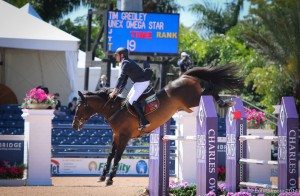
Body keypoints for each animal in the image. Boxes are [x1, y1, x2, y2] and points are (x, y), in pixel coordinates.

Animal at [72, 64, 244, 185]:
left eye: (80, 107)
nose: (74, 125)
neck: (115, 109)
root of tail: (184, 75)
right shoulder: (116, 135)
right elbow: (110, 155)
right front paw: (102, 176)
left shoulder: (125, 136)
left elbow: (118, 156)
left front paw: (110, 179)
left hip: (194, 99)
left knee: (209, 88)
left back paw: (224, 102)